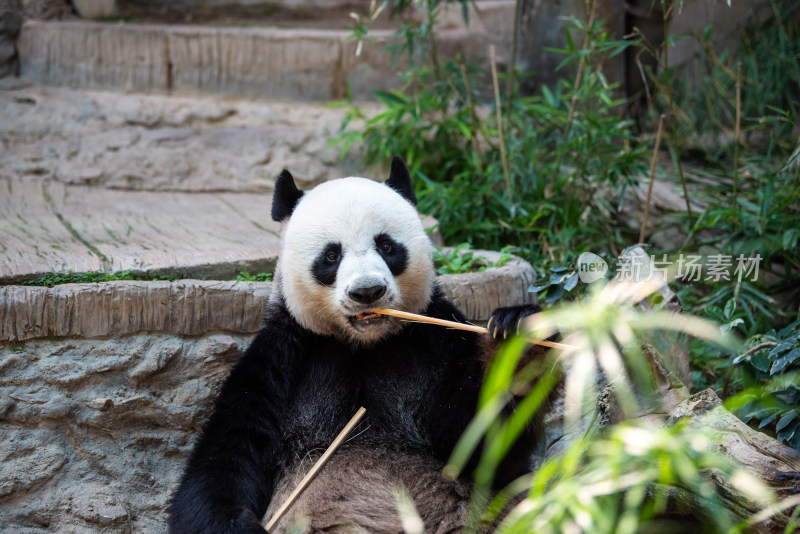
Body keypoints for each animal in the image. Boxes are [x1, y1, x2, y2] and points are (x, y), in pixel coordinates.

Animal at [166, 159, 540, 534]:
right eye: (331, 255)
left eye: (387, 246)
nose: (367, 291)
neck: (363, 344)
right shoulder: (282, 359)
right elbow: (224, 458)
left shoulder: (434, 340)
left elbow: (486, 449)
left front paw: (519, 338)